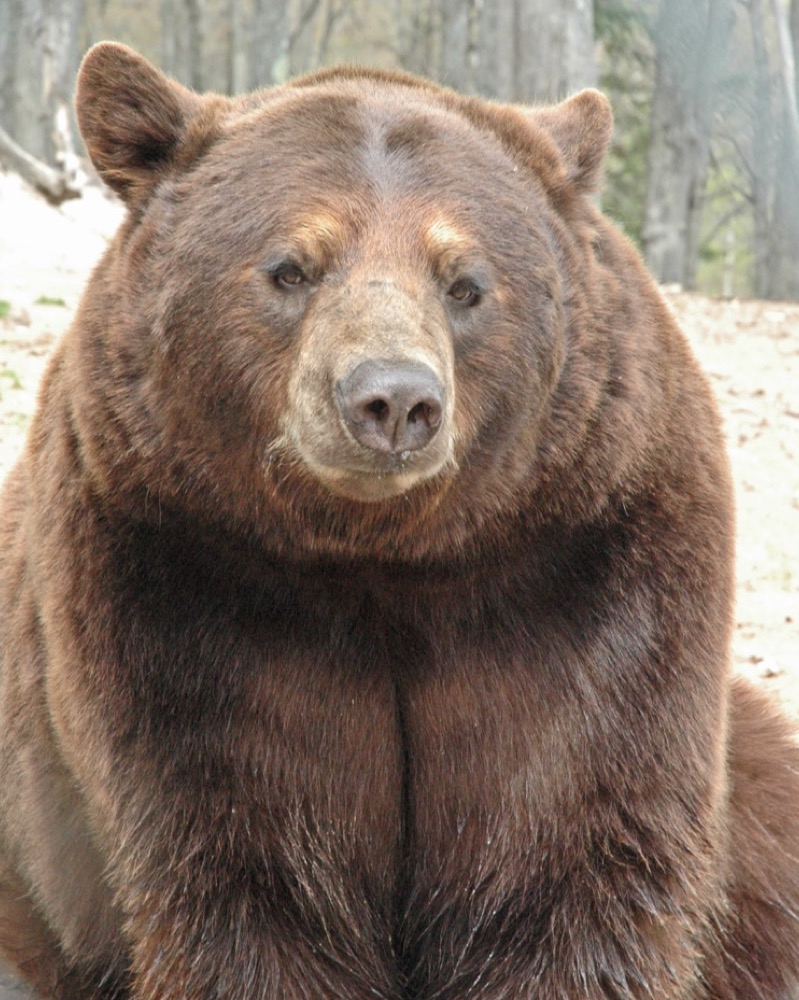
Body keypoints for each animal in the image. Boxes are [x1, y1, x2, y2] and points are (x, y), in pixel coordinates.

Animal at [1, 38, 798, 1000]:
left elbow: (570, 855)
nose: (392, 399)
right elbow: (246, 870)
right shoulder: (178, 576)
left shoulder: (584, 567)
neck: (381, 557)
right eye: (290, 267)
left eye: (466, 282)